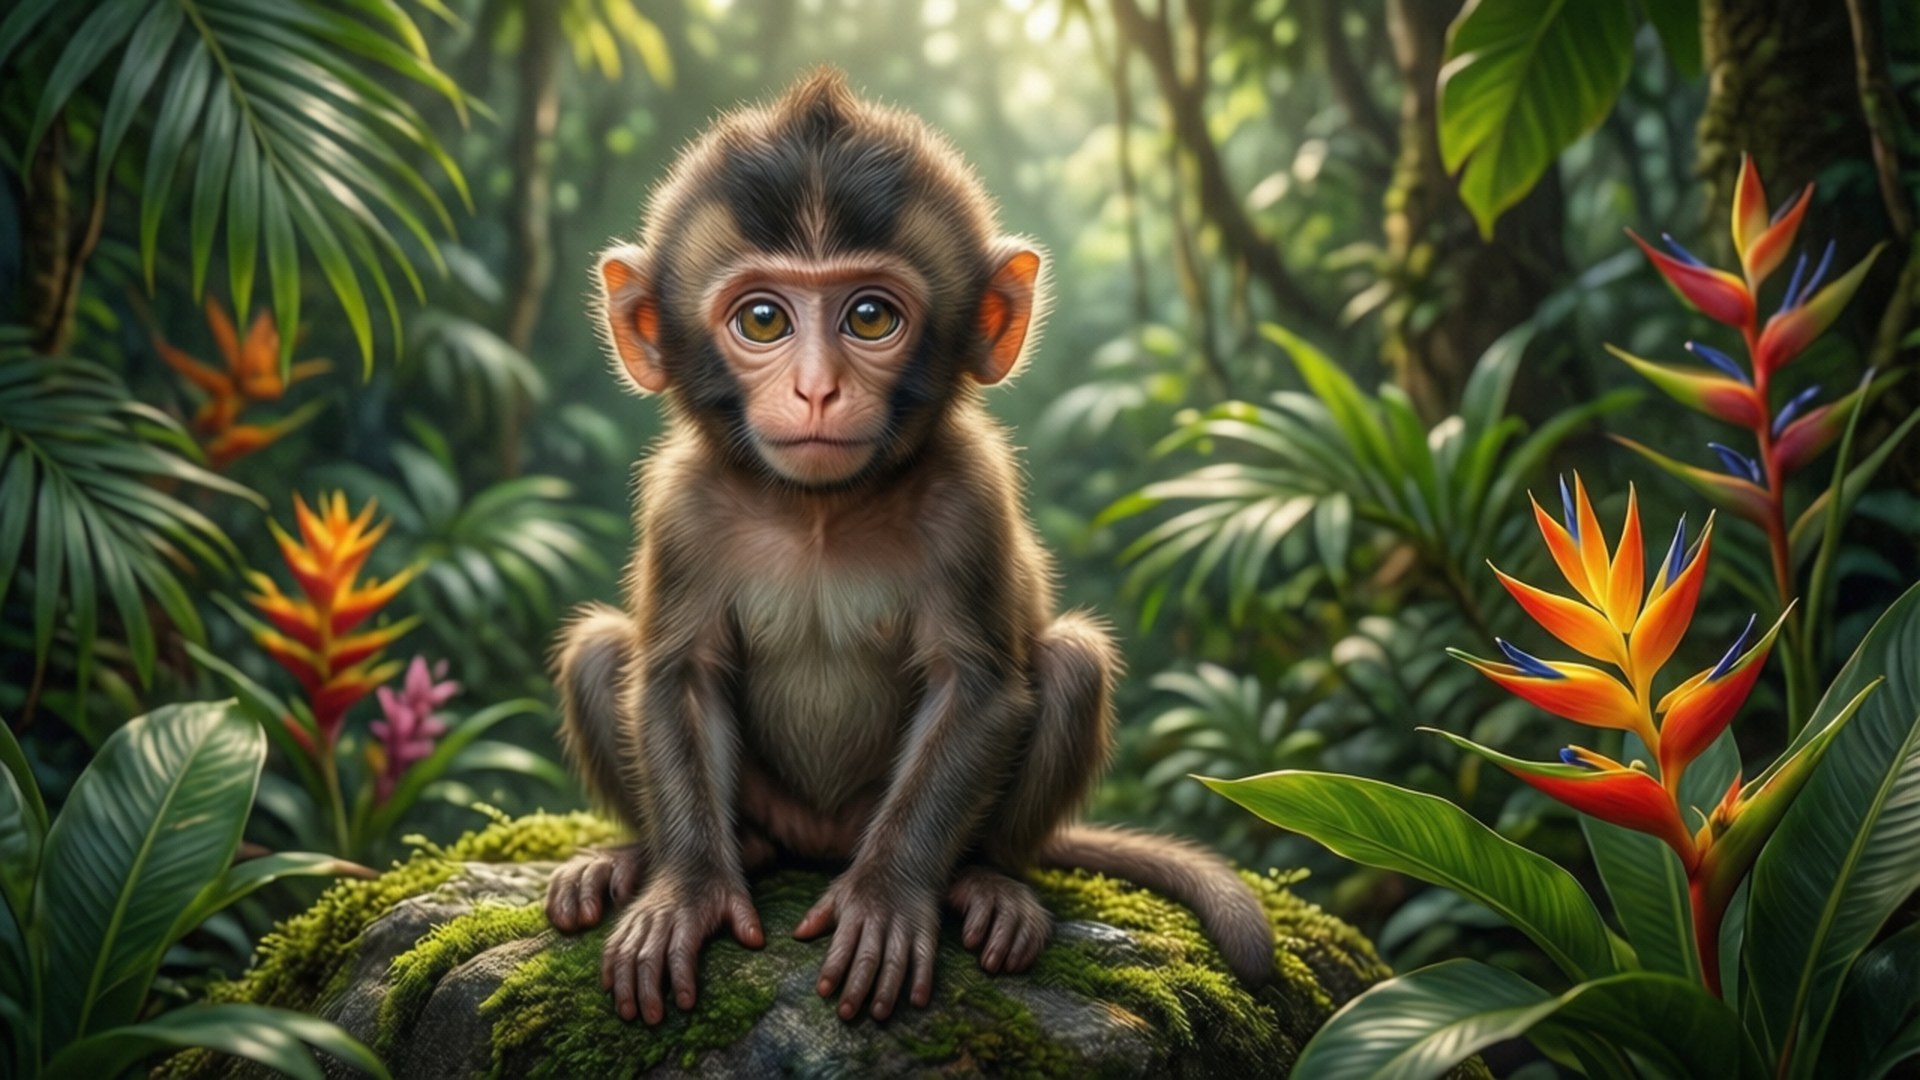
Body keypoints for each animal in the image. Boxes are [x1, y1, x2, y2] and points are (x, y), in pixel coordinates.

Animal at [545, 68, 1274, 1028]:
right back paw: (645, 859)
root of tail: (819, 839)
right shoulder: (683, 507)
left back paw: (984, 883)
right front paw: (685, 893)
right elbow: (677, 676)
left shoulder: (971, 500)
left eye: (869, 316)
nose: (817, 390)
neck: (819, 512)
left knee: (1070, 663)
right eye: (764, 320)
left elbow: (979, 686)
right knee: (602, 651)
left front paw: (889, 901)